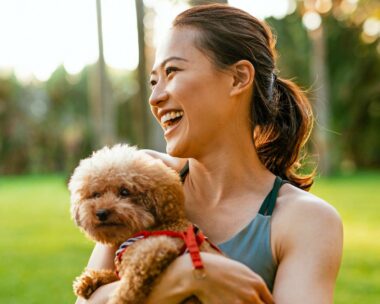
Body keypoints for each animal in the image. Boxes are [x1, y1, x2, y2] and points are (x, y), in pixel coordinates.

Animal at [68, 145, 220, 304]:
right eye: (96, 194)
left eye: (124, 192)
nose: (101, 213)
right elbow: (115, 277)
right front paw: (90, 280)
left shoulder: (156, 248)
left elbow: (130, 283)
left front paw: (119, 299)